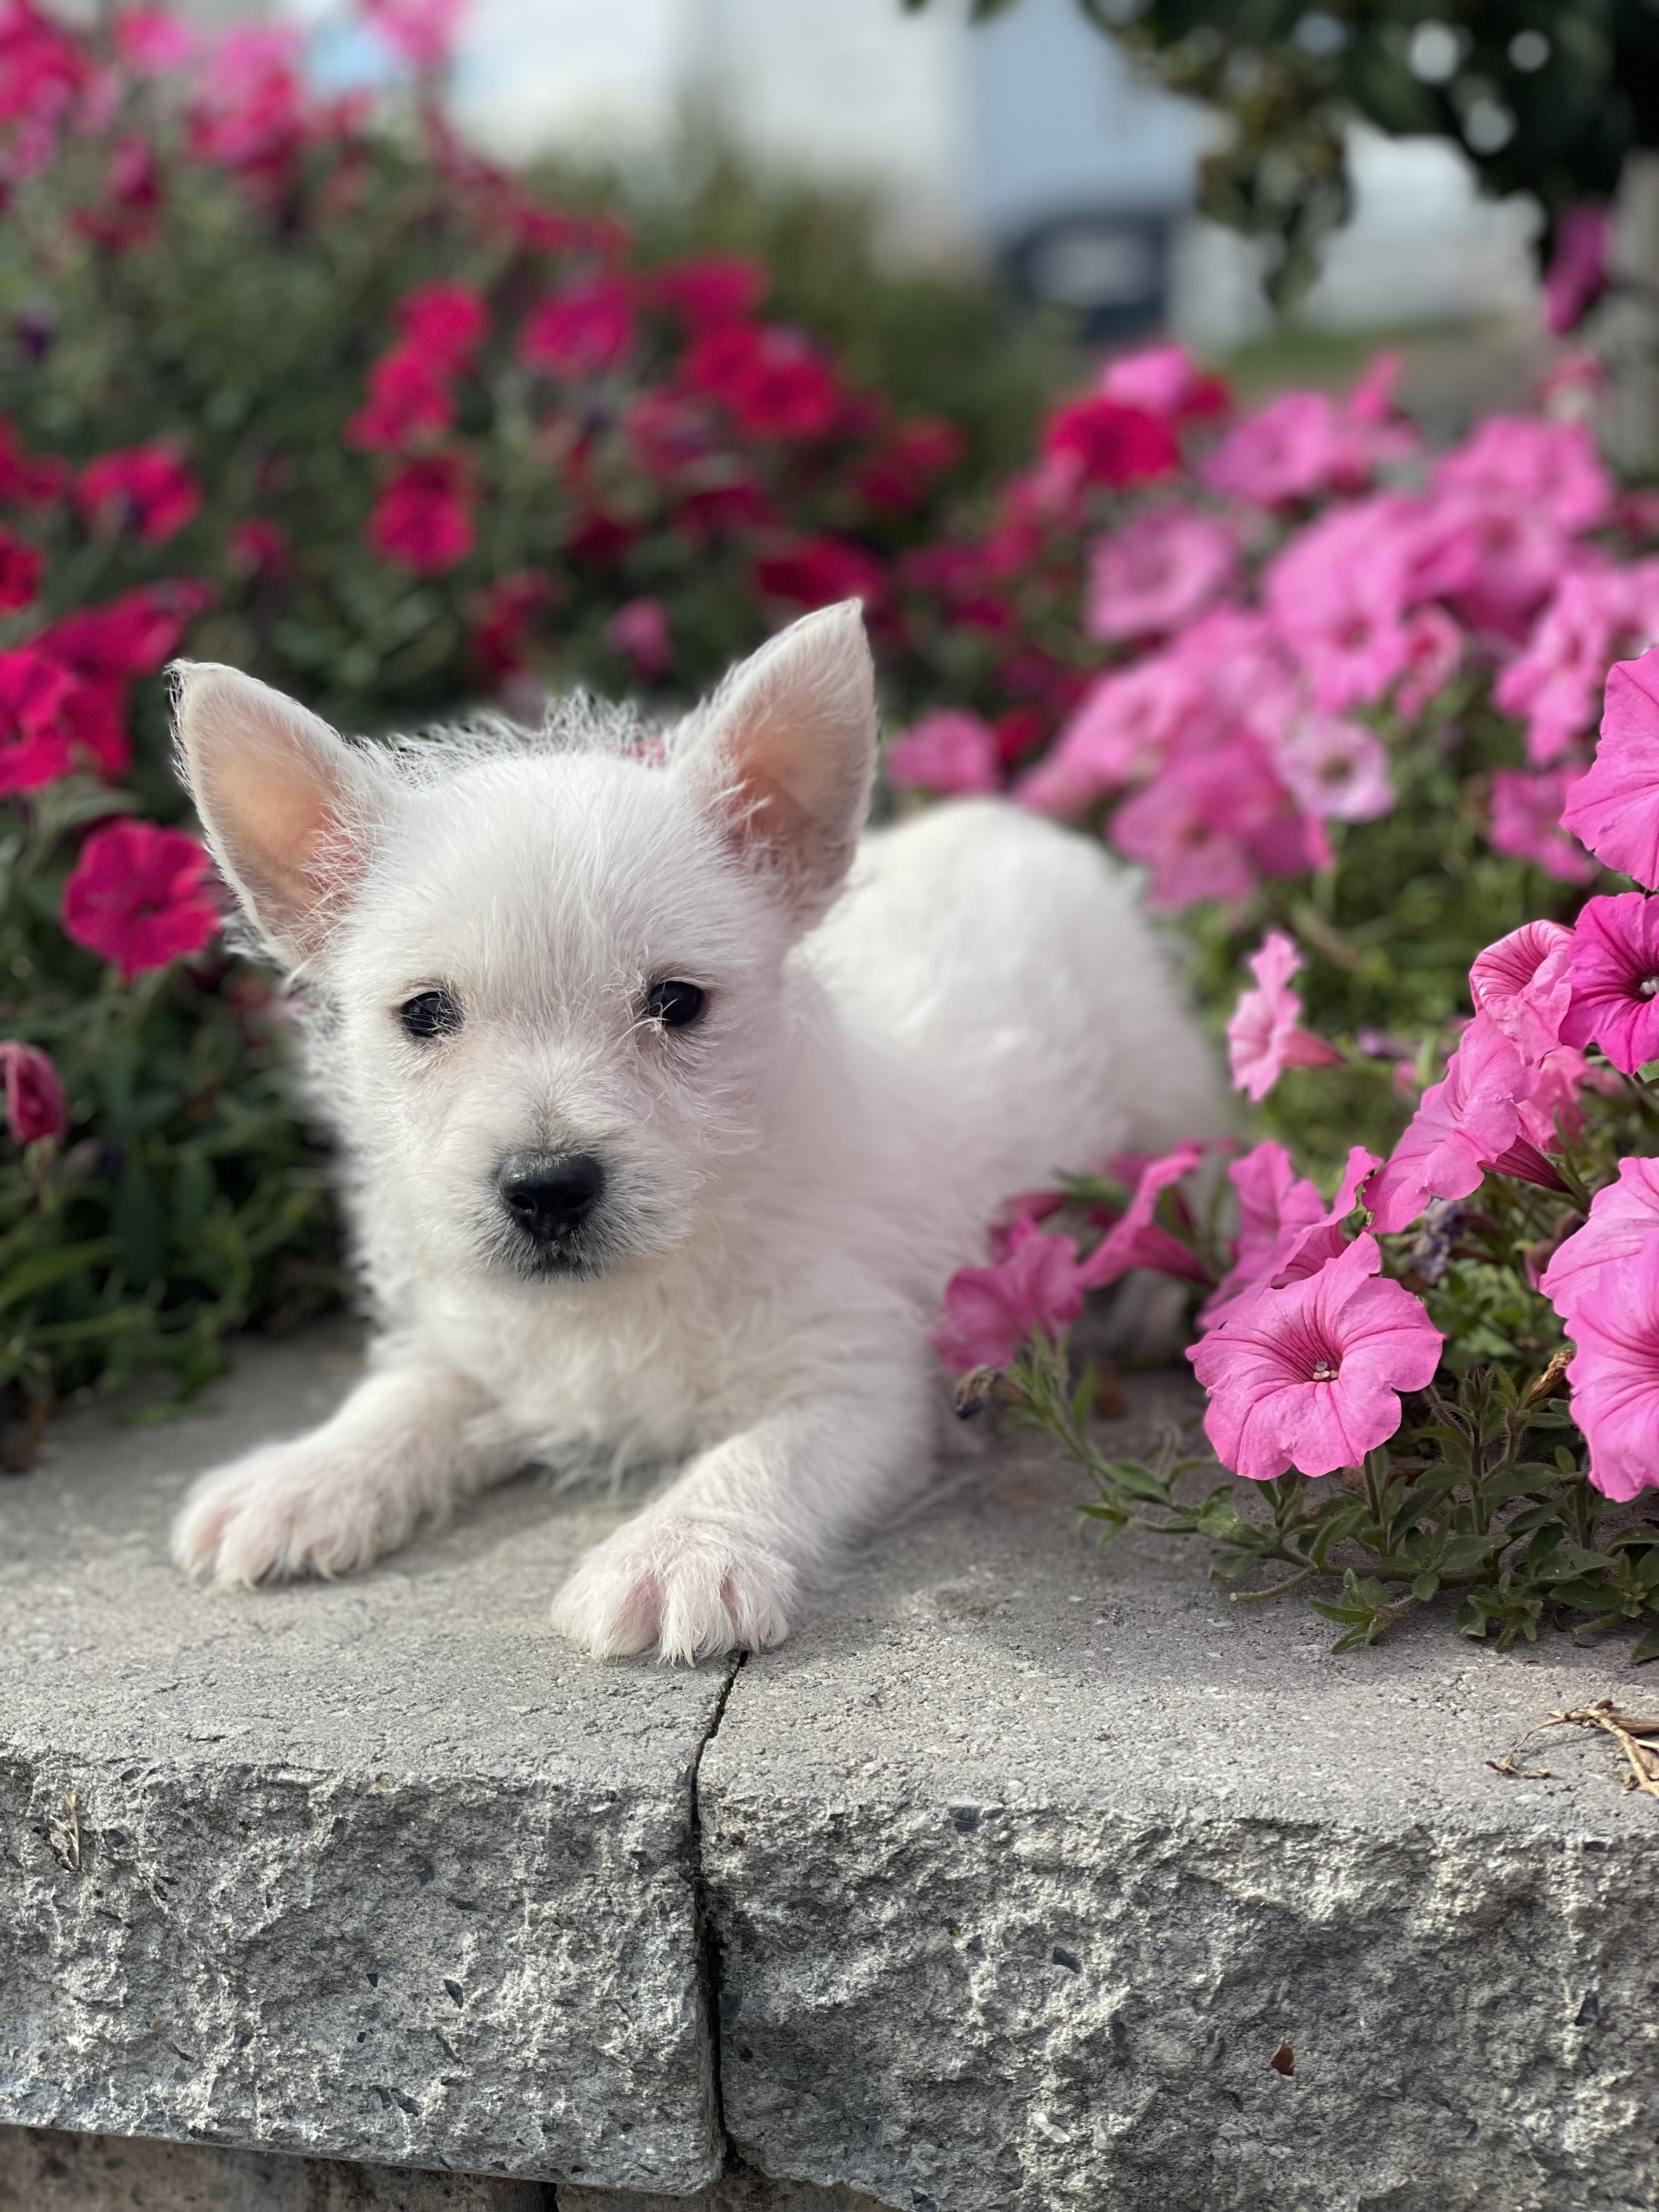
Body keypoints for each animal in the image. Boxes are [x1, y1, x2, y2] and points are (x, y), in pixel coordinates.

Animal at [169, 606, 1229, 1663]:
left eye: (676, 1002)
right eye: (426, 1013)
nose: (547, 1185)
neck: (637, 1288)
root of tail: (1003, 821)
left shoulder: (859, 1385)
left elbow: (760, 1455)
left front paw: (677, 1549)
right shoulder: (478, 1337)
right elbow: (406, 1393)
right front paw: (305, 1477)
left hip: (1160, 1072)